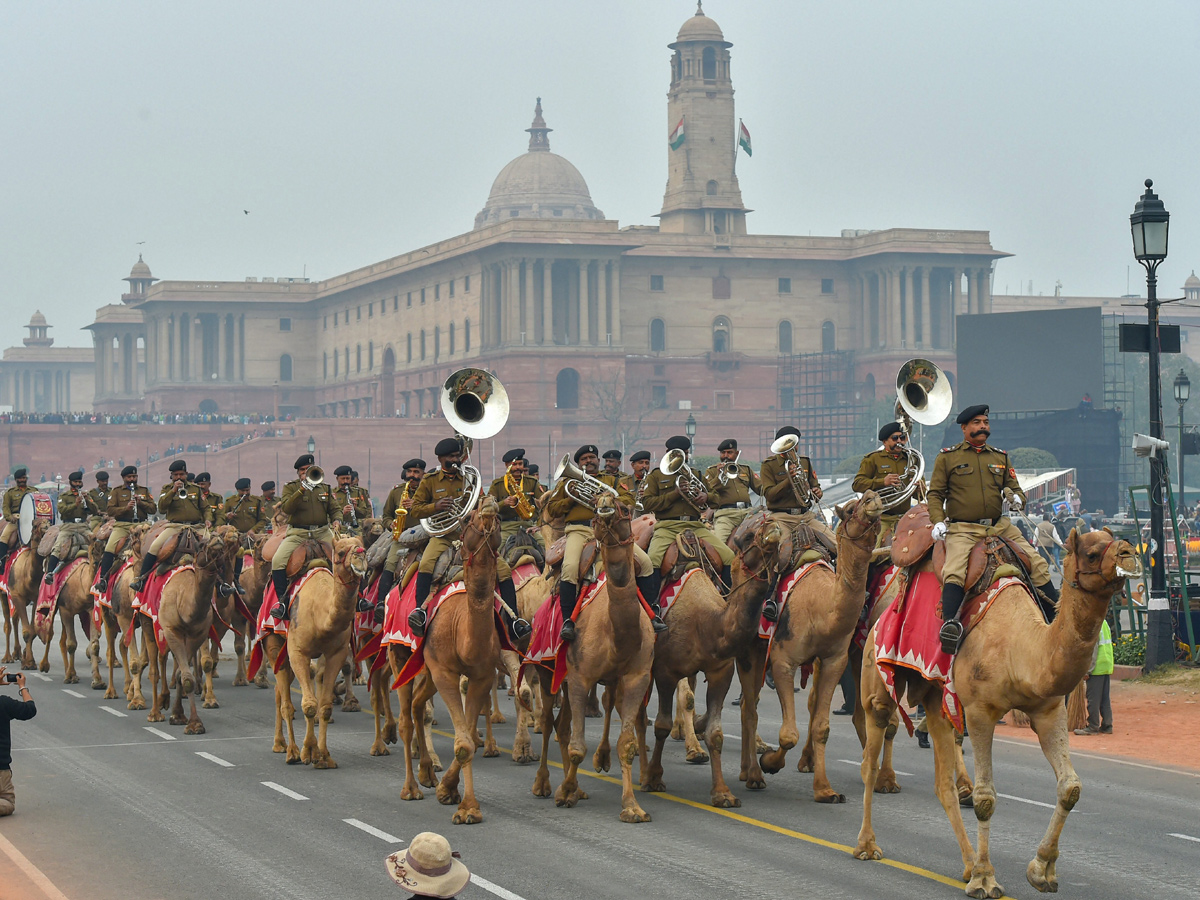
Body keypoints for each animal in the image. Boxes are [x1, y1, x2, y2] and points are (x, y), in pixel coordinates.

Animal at [267, 535, 364, 768]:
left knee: (280, 691)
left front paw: (324, 757)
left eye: (363, 546)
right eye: (340, 552)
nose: (360, 556)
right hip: (274, 643)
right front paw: (308, 752)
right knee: (285, 701)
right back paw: (290, 751)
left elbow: (325, 706)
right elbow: (309, 704)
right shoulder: (298, 652)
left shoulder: (336, 653)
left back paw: (280, 744)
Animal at [530, 496, 652, 830]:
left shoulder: (636, 677)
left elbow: (626, 745)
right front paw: (565, 792)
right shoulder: (580, 676)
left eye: (624, 508)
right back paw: (544, 784)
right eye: (597, 505)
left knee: (562, 724)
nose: (604, 505)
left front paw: (632, 807)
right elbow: (577, 747)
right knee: (548, 721)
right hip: (547, 670)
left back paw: (576, 787)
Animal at [643, 513, 792, 811]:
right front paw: (653, 778)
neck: (706, 623)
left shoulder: (720, 672)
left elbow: (716, 734)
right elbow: (663, 724)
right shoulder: (666, 671)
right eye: (746, 536)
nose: (772, 526)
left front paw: (723, 793)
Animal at [739, 494, 883, 801]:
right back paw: (753, 773)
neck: (822, 607)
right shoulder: (782, 660)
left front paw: (825, 790)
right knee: (749, 704)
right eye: (850, 509)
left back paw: (751, 770)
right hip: (751, 648)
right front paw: (770, 763)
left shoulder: (834, 661)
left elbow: (821, 727)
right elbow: (787, 734)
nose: (873, 499)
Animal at [854, 532, 1132, 897]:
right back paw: (867, 845)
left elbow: (1070, 788)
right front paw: (986, 879)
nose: (1129, 553)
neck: (1021, 648)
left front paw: (1042, 870)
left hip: (935, 696)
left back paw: (967, 864)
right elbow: (985, 797)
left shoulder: (1048, 709)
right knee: (871, 753)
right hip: (879, 672)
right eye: (1092, 553)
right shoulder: (979, 712)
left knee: (942, 782)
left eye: (1115, 539)